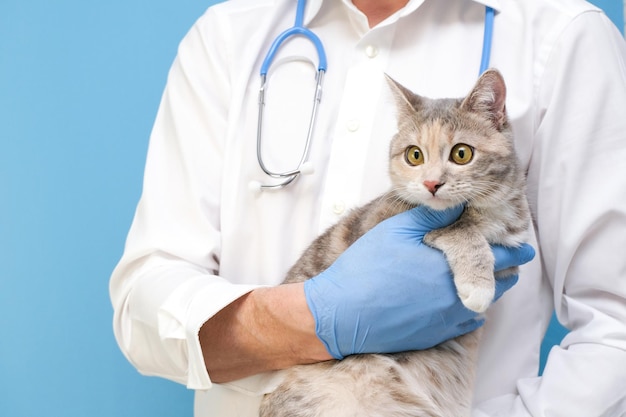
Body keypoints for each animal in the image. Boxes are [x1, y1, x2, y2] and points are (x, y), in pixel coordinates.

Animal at [258, 69, 528, 416]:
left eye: (462, 153)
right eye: (415, 155)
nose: (431, 183)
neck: (488, 210)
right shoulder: (387, 225)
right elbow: (459, 230)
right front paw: (477, 283)